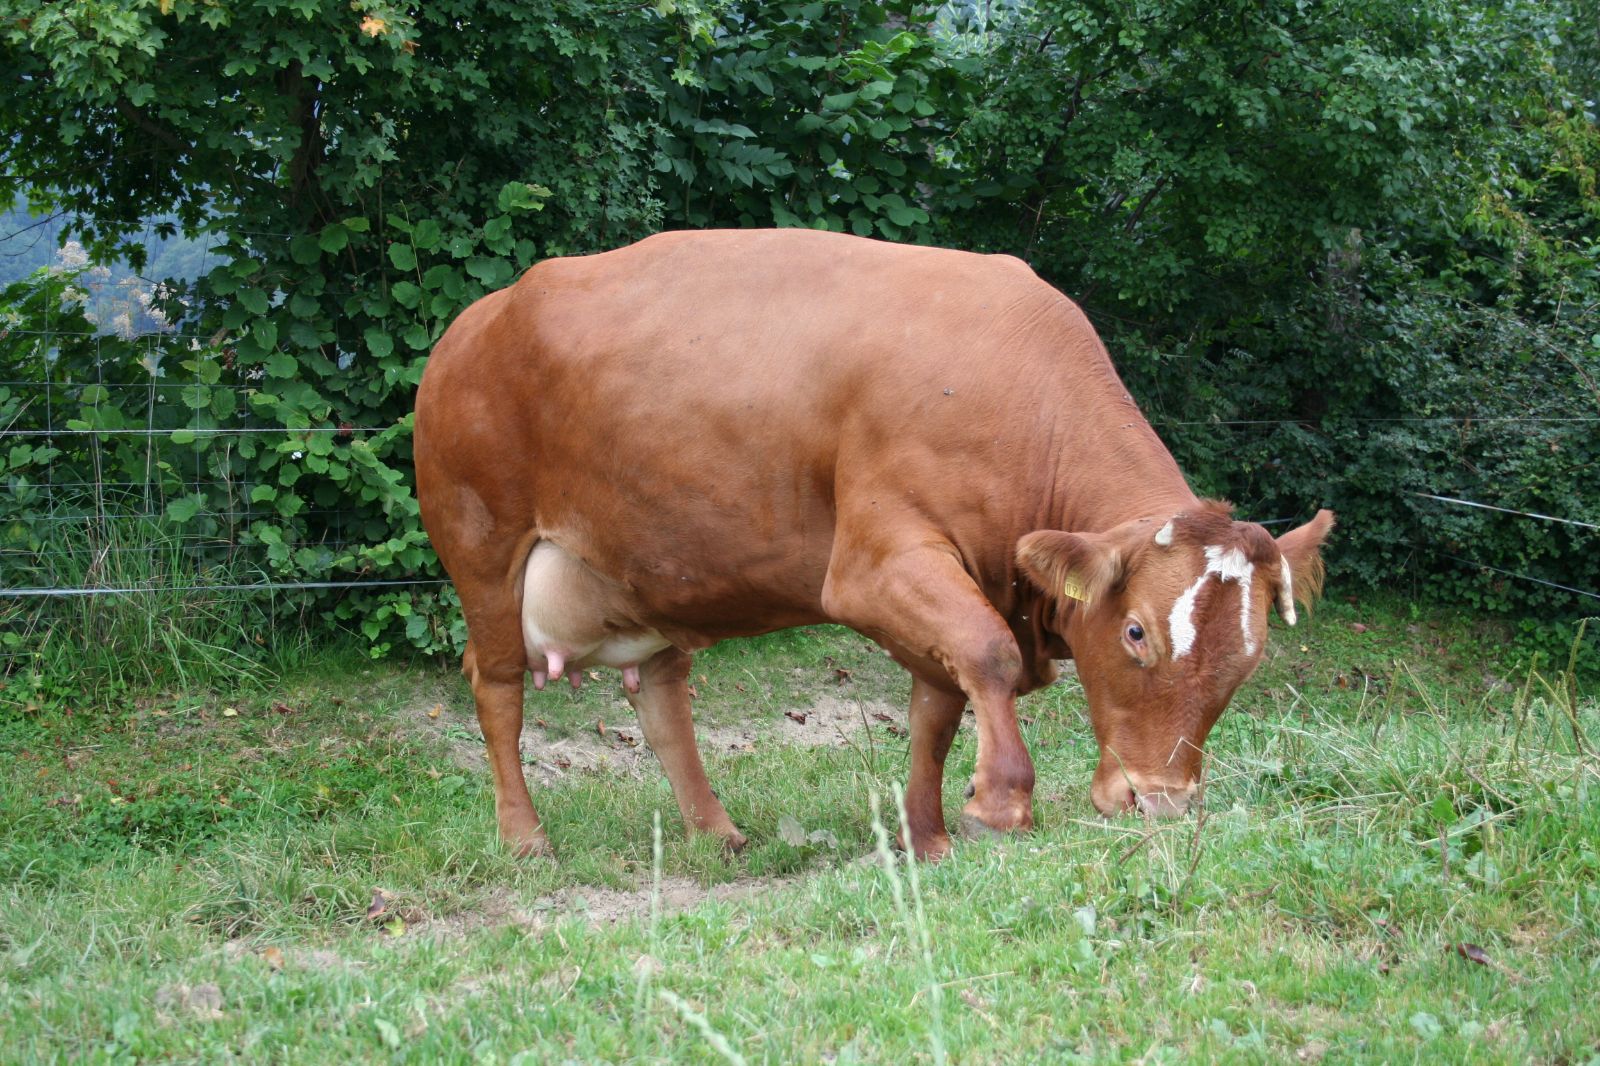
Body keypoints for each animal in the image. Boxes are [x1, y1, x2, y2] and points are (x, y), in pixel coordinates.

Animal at [414, 229, 1333, 860]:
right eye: (1135, 631)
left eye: (1247, 660)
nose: (1160, 803)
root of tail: (475, 320)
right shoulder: (874, 562)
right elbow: (987, 655)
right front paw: (1000, 804)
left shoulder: (963, 578)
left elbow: (939, 706)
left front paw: (928, 837)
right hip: (483, 551)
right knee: (497, 687)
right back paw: (526, 837)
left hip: (649, 568)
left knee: (663, 694)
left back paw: (718, 832)